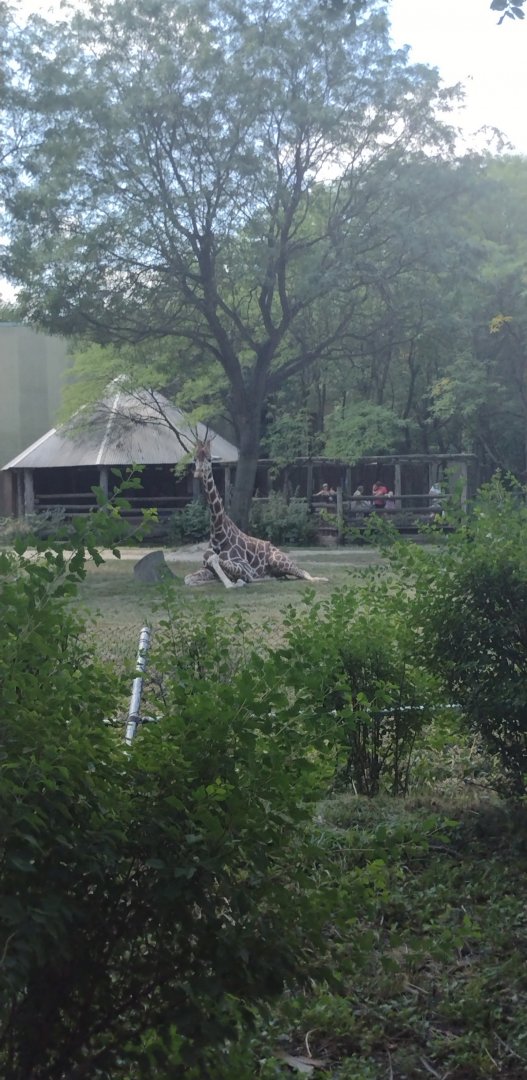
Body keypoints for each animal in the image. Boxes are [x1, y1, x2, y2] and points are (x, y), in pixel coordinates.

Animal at [184, 441, 328, 588]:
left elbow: (222, 563)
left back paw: (322, 579)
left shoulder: (245, 568)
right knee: (283, 576)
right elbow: (189, 578)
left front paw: (234, 582)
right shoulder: (206, 568)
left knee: (304, 572)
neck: (219, 534)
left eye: (209, 459)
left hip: (279, 560)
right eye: (195, 459)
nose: (198, 474)